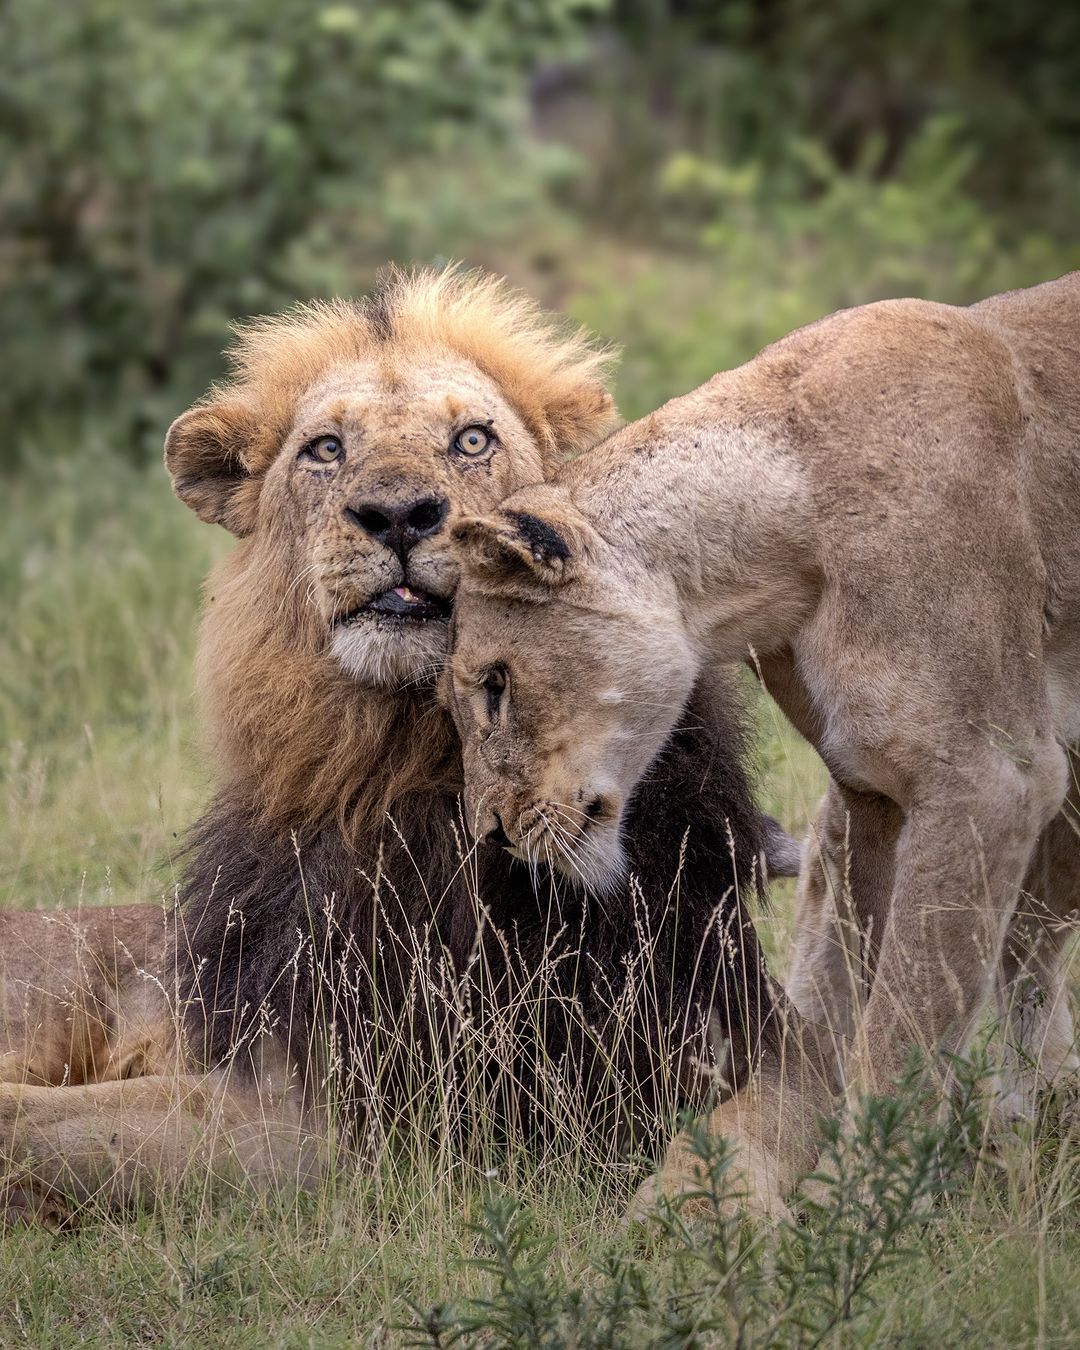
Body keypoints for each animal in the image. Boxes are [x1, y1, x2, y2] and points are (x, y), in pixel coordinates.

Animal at [0, 265, 793, 1225]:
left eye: (472, 438)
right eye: (325, 450)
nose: (398, 514)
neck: (422, 760)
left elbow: (759, 1118)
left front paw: (698, 1214)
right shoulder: (322, 1094)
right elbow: (40, 1123)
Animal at [445, 271, 1080, 1215]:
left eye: (495, 684)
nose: (488, 832)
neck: (784, 544)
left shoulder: (993, 775)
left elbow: (906, 1015)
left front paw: (856, 1207)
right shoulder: (871, 790)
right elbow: (839, 999)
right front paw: (707, 1192)